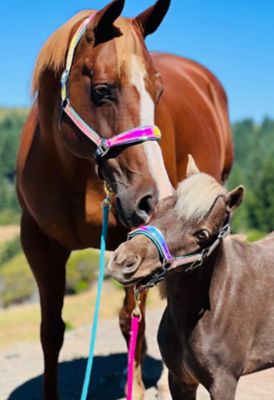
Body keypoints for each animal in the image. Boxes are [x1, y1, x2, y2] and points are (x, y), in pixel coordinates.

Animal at [16, 0, 232, 400]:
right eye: (102, 90)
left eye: (158, 93)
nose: (154, 198)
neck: (76, 172)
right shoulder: (38, 243)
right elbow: (50, 331)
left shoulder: (139, 244)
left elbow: (131, 321)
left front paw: (139, 386)